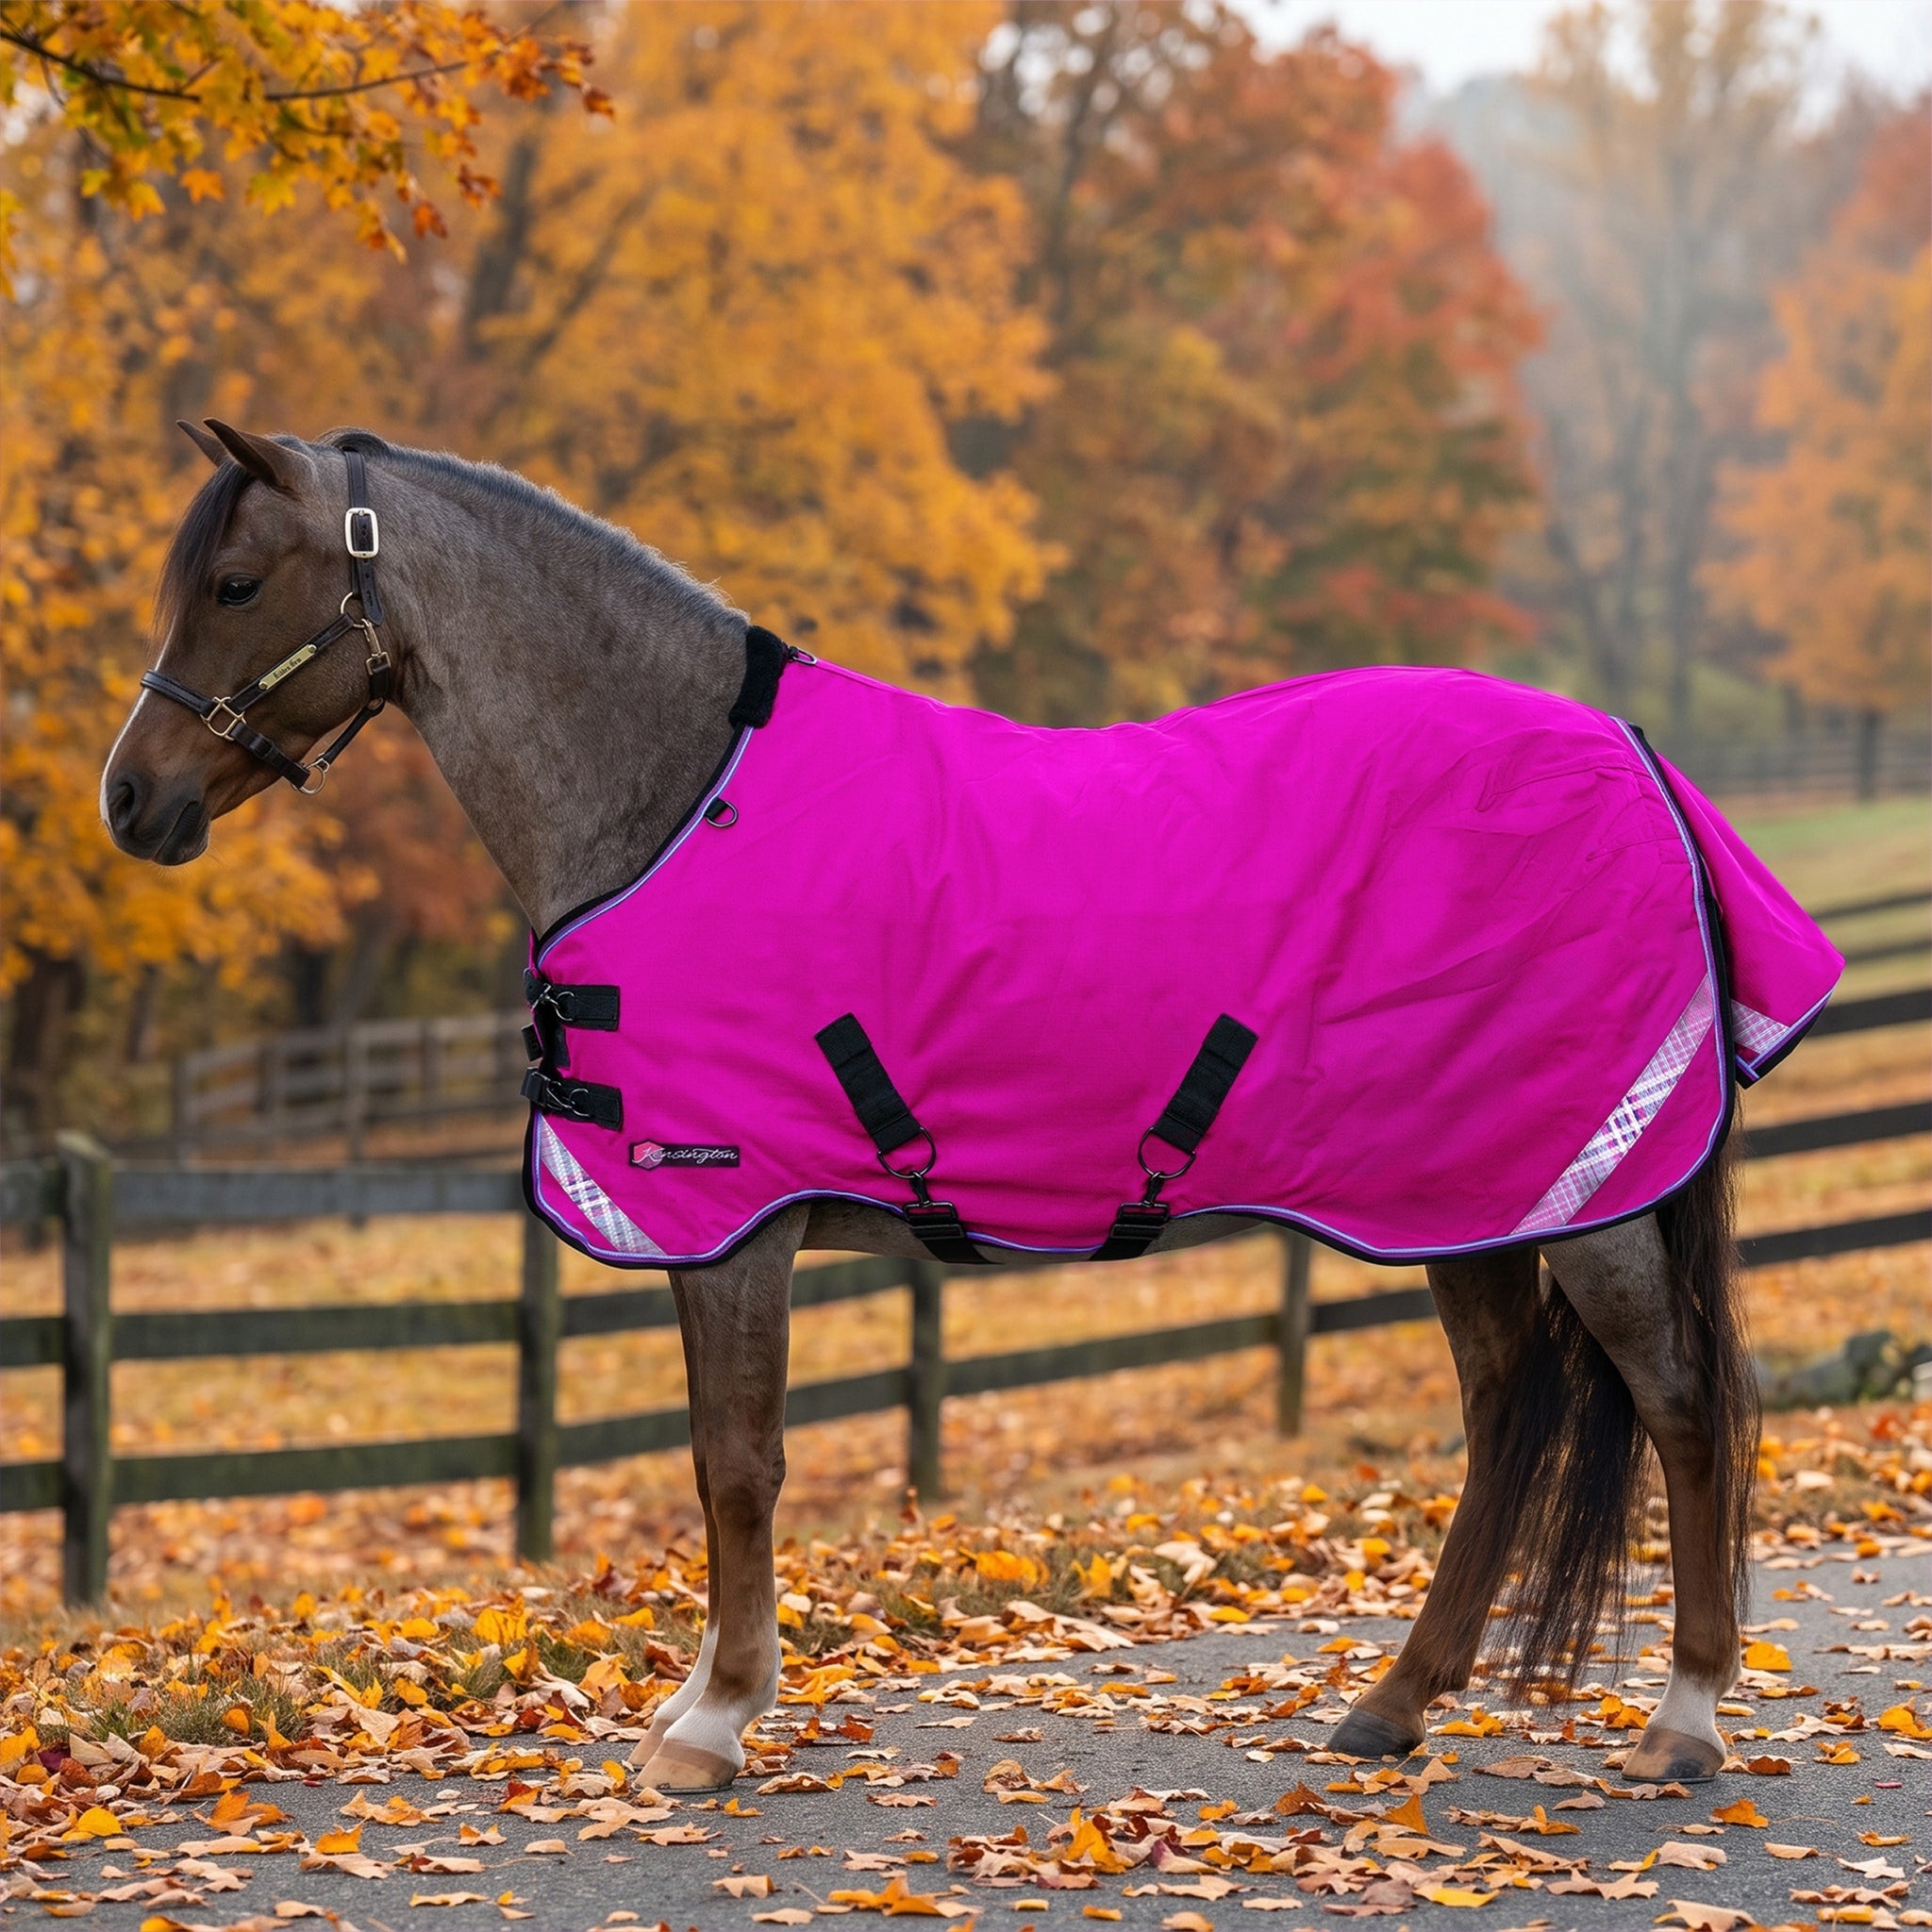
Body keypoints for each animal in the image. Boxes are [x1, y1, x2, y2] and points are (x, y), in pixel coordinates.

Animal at [103, 420, 1787, 1794]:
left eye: (236, 582)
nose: (131, 801)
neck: (676, 795)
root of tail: (1632, 753)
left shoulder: (733, 1219)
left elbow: (740, 1463)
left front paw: (714, 1725)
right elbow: (720, 1459)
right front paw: (702, 1706)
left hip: (1591, 1195)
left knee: (1679, 1403)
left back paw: (1686, 1718)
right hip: (1471, 1200)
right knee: (1507, 1411)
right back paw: (1396, 1703)